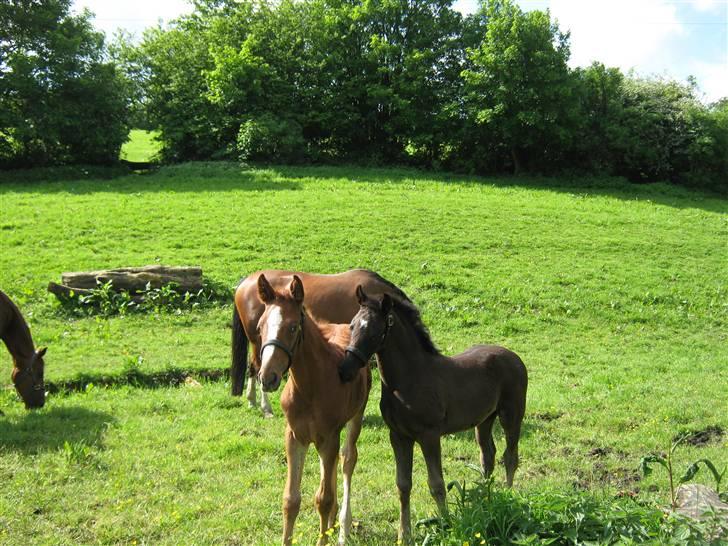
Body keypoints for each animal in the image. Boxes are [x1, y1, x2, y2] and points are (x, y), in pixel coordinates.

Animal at [256, 274, 370, 540]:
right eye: (259, 327)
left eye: (292, 327)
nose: (267, 377)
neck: (309, 388)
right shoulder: (294, 436)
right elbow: (291, 500)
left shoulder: (328, 437)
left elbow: (323, 499)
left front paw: (326, 535)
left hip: (355, 417)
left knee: (347, 459)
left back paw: (343, 527)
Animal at [338, 284, 528, 540]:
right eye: (352, 325)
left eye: (375, 331)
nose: (345, 369)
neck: (408, 380)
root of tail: (514, 356)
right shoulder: (398, 436)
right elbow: (403, 484)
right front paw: (404, 535)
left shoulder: (429, 435)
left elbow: (436, 484)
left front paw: (446, 525)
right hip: (484, 420)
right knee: (487, 455)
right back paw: (486, 501)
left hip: (512, 414)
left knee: (510, 456)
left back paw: (506, 498)